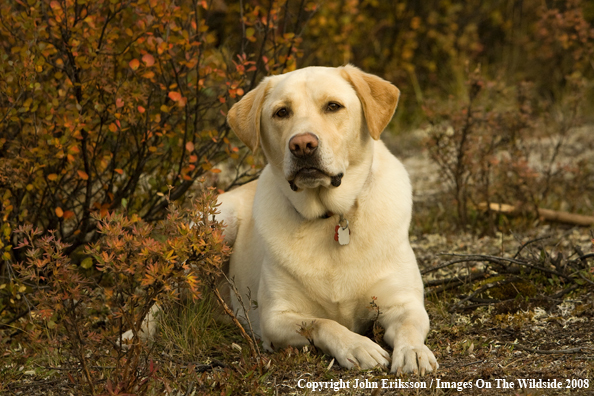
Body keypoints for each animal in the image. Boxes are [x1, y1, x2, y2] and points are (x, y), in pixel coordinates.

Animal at [216, 65, 434, 374]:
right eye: (281, 112)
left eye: (333, 106)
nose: (302, 145)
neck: (330, 216)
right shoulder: (275, 318)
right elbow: (323, 323)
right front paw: (358, 346)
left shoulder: (404, 302)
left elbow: (409, 326)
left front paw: (413, 352)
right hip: (220, 222)